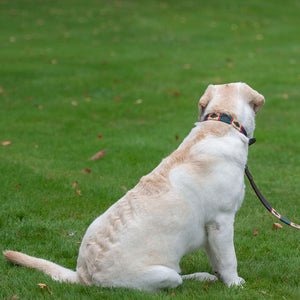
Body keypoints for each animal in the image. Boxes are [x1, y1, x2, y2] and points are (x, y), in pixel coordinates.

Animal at [3, 81, 264, 290]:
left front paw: (221, 278)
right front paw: (234, 284)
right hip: (162, 274)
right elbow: (229, 259)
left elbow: (216, 258)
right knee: (176, 280)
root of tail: (83, 276)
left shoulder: (210, 229)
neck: (223, 122)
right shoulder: (221, 221)